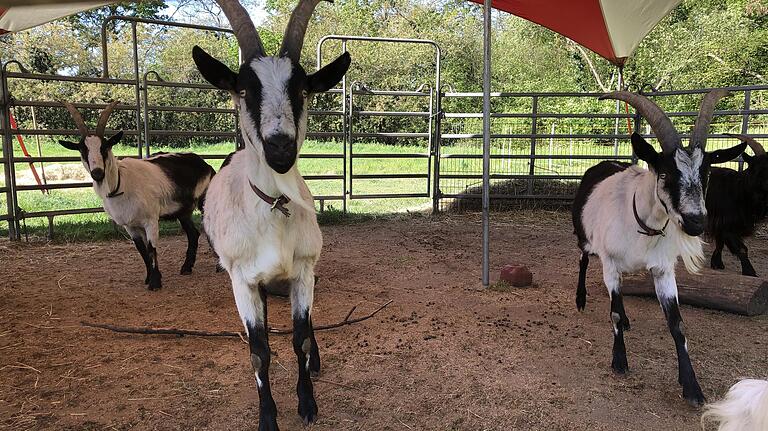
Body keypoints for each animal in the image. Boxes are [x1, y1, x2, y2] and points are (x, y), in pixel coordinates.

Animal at [58, 101, 214, 290]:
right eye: (82, 150)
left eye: (104, 147)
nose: (97, 173)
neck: (121, 184)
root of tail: (204, 164)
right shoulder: (130, 226)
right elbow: (142, 251)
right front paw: (148, 278)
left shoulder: (150, 220)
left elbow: (152, 249)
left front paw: (155, 283)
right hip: (183, 211)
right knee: (193, 233)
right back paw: (186, 267)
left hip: (205, 201)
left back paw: (218, 266)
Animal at [190, 1, 350, 430]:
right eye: (244, 89)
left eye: (302, 89)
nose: (280, 147)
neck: (274, 209)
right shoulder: (242, 281)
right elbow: (258, 351)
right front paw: (268, 418)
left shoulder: (304, 270)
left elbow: (301, 336)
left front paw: (307, 403)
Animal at [572, 89, 748, 406]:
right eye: (665, 174)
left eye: (706, 174)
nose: (695, 221)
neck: (641, 224)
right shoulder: (610, 264)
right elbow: (614, 312)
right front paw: (619, 362)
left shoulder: (663, 270)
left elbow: (677, 325)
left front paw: (692, 388)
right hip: (587, 240)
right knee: (582, 259)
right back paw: (581, 299)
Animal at [704, 133, 768, 278]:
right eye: (756, 168)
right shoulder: (726, 225)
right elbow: (742, 249)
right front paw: (751, 272)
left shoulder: (720, 225)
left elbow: (720, 243)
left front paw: (717, 264)